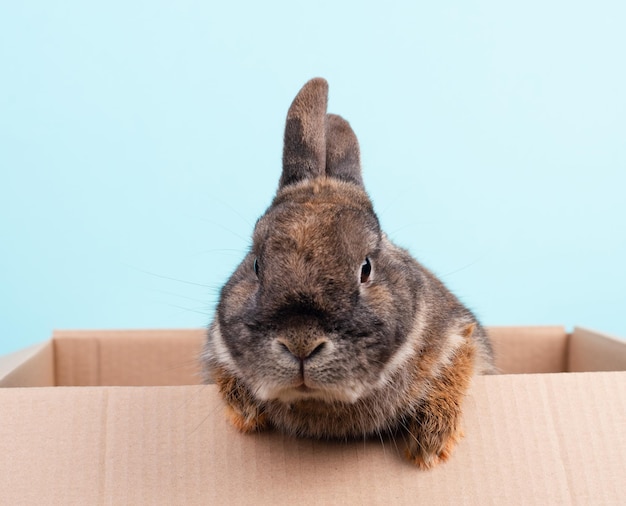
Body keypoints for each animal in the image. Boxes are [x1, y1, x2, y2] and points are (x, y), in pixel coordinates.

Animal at [202, 77, 494, 468]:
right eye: (256, 265)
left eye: (365, 268)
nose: (301, 343)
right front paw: (246, 416)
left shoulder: (459, 336)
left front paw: (429, 447)